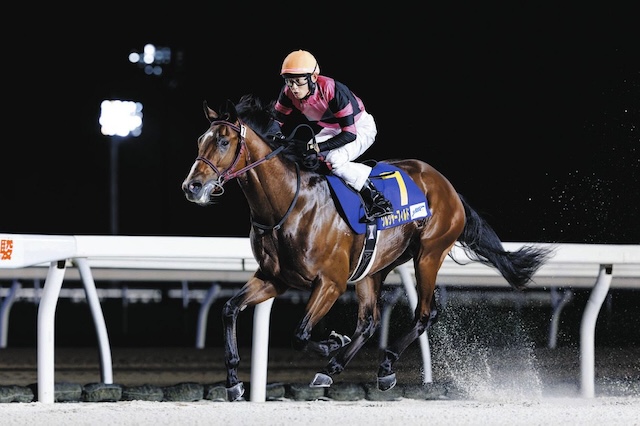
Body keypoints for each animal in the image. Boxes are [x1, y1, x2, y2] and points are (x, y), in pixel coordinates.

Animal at [181, 94, 552, 402]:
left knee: (424, 313)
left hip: (429, 254)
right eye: (200, 140)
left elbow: (300, 333)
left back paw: (383, 366)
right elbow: (229, 309)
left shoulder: (330, 283)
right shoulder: (275, 278)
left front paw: (332, 341)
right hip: (373, 268)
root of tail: (446, 186)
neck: (288, 204)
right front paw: (233, 382)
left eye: (224, 141)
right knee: (369, 321)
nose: (192, 186)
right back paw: (335, 369)